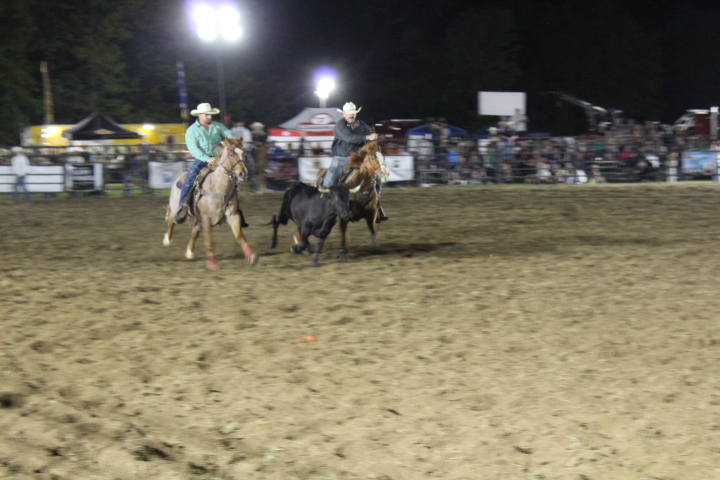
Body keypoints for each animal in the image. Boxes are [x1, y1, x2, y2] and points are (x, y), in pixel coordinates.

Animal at [163, 137, 257, 269]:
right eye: (231, 154)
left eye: (244, 153)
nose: (243, 173)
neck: (218, 187)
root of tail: (180, 178)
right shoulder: (207, 218)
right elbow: (209, 240)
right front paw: (212, 263)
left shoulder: (233, 215)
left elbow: (239, 235)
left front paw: (251, 256)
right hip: (176, 207)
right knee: (172, 220)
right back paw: (167, 240)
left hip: (198, 218)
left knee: (194, 232)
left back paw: (190, 252)